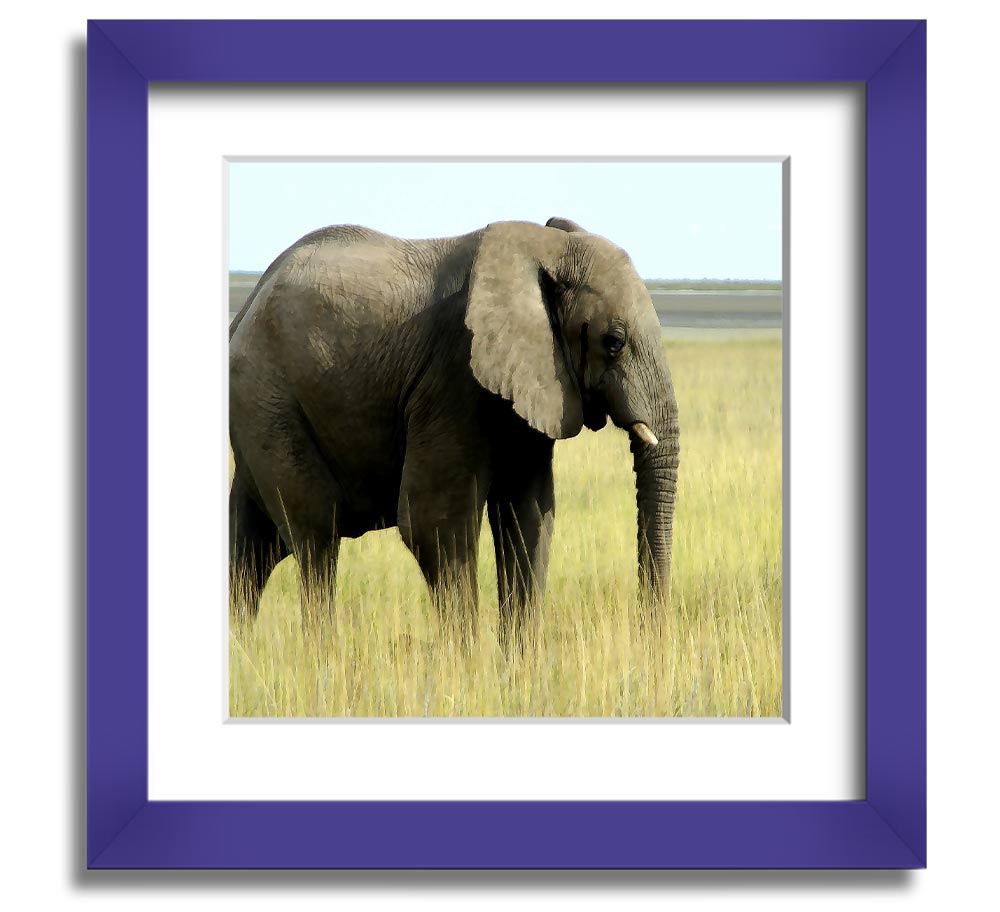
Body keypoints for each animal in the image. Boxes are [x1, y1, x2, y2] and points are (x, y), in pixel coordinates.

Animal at [229, 216, 679, 639]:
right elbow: (436, 526)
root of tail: (248, 303)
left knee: (253, 544)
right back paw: (323, 656)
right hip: (268, 402)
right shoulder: (452, 375)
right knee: (315, 536)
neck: (543, 248)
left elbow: (530, 515)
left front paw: (518, 666)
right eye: (614, 341)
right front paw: (466, 663)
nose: (647, 633)